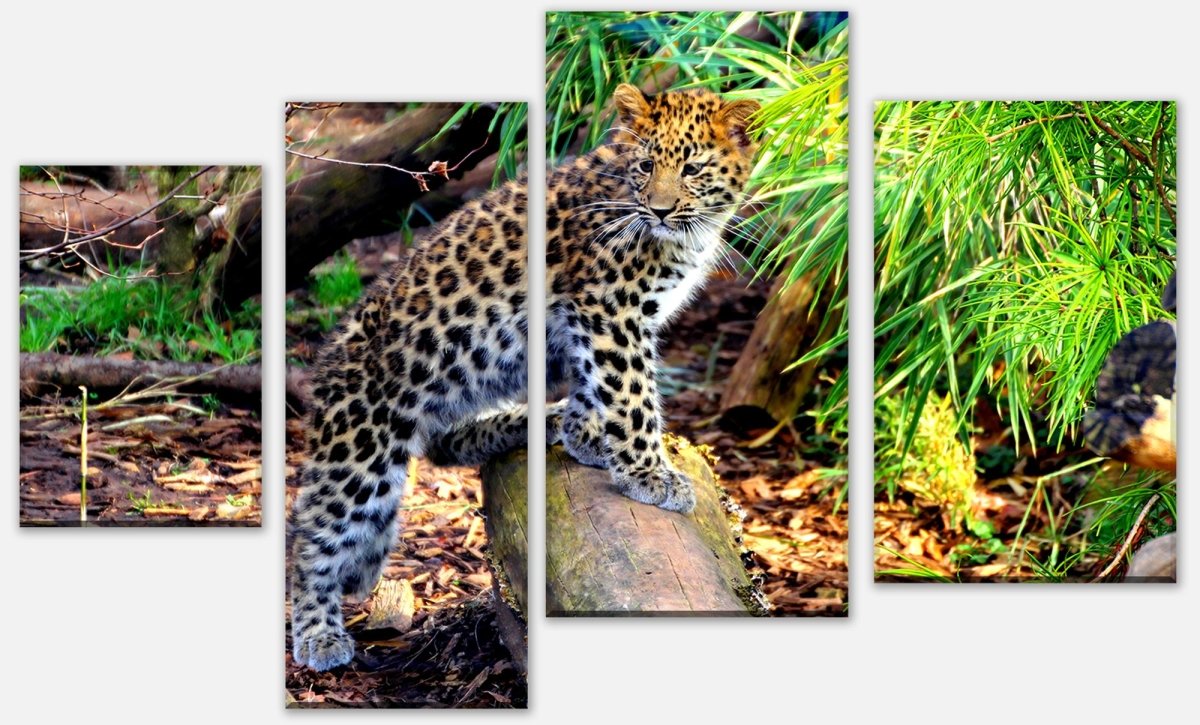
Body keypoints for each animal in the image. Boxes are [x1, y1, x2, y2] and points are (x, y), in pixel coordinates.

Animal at [288, 85, 759, 672]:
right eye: (648, 165)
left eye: (692, 168)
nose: (660, 208)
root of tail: (326, 364)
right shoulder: (612, 311)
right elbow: (631, 394)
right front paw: (650, 474)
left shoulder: (590, 323)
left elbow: (594, 383)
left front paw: (587, 435)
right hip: (362, 448)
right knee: (313, 533)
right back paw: (318, 634)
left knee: (443, 444)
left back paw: (539, 421)